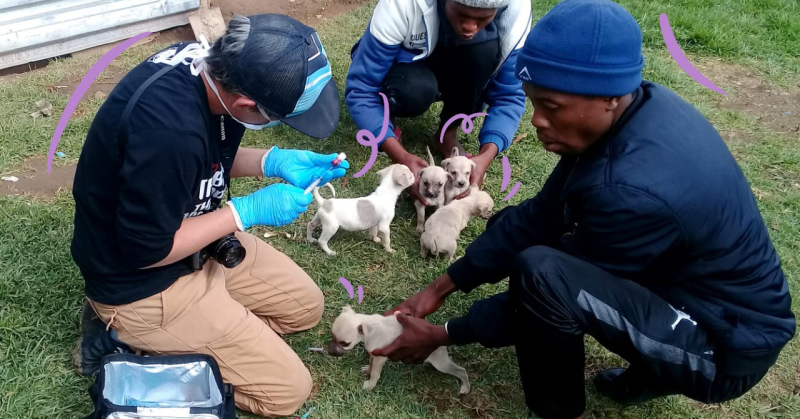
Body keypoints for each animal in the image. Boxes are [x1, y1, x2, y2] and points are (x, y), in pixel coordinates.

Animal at [328, 306, 472, 396]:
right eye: (332, 336)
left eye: (345, 344)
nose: (330, 352)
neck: (369, 328)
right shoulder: (373, 354)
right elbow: (370, 364)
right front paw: (367, 370)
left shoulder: (380, 357)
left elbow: (375, 373)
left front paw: (370, 385)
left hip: (441, 363)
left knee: (461, 371)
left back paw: (465, 387)